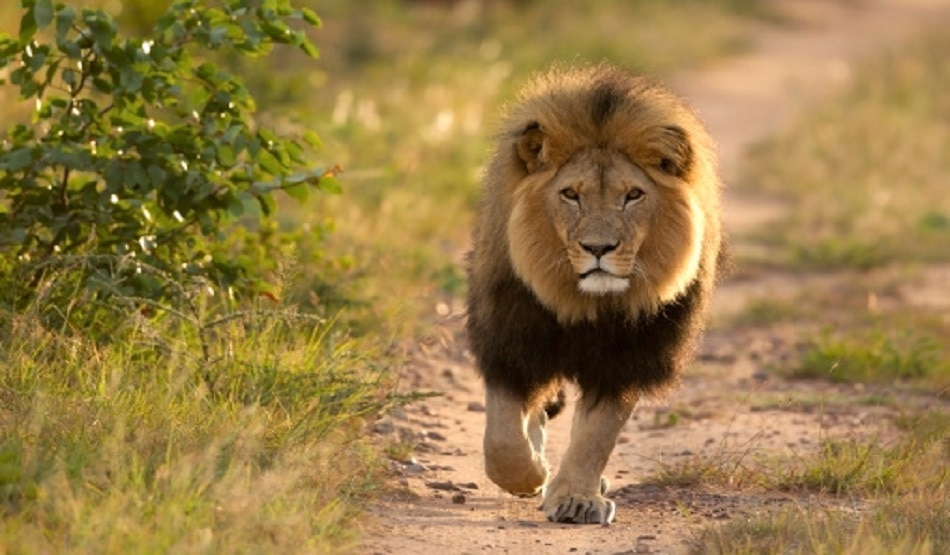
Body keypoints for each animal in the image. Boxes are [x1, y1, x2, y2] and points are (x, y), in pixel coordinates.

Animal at [466, 63, 723, 524]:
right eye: (571, 194)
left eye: (633, 195)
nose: (599, 248)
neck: (585, 304)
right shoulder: (511, 339)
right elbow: (503, 436)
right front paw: (529, 475)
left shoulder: (627, 356)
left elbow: (596, 435)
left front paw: (575, 498)